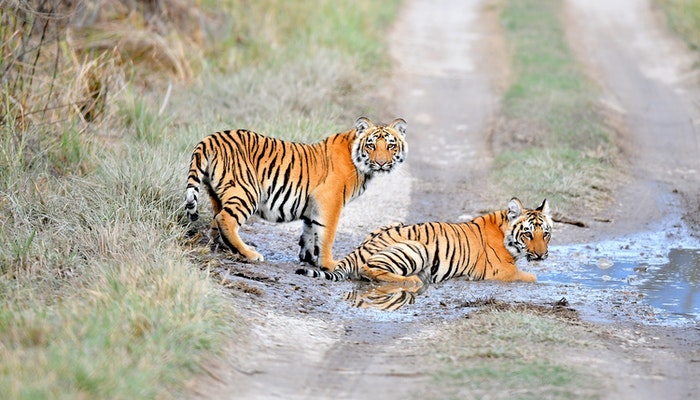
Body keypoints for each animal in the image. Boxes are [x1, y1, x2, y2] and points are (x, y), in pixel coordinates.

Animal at [183, 115, 408, 268]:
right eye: (371, 145)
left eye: (391, 146)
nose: (381, 163)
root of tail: (211, 138)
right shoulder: (329, 201)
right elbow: (327, 234)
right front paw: (329, 264)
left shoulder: (313, 205)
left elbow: (310, 232)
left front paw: (309, 259)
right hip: (247, 191)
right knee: (225, 219)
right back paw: (250, 253)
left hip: (217, 193)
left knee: (216, 219)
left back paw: (221, 246)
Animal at [296, 197, 552, 284]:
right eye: (528, 234)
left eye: (546, 234)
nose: (541, 255)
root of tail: (357, 250)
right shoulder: (502, 271)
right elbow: (531, 277)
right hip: (416, 247)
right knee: (369, 270)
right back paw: (413, 281)